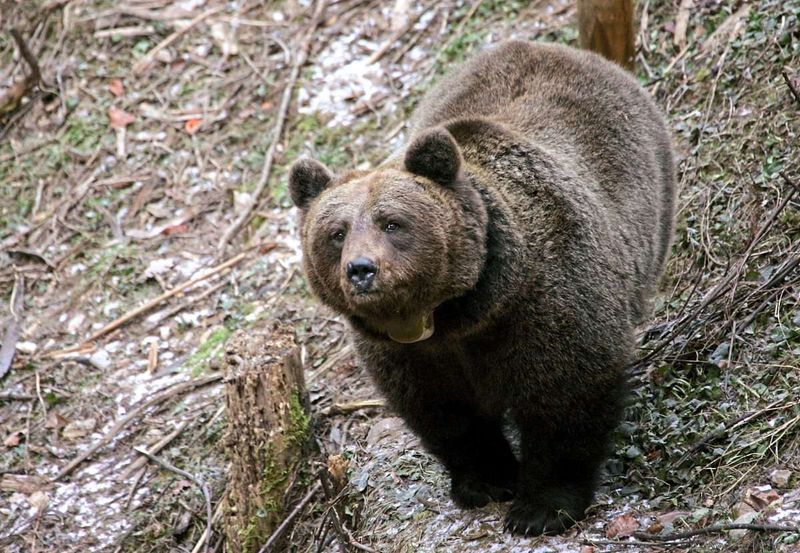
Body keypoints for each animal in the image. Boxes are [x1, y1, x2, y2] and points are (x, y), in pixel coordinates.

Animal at [290, 41, 676, 532]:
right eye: (336, 233)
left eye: (392, 222)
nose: (361, 269)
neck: (461, 312)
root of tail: (560, 49)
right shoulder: (408, 355)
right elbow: (445, 414)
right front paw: (486, 480)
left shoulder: (549, 301)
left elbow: (566, 395)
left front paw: (541, 507)